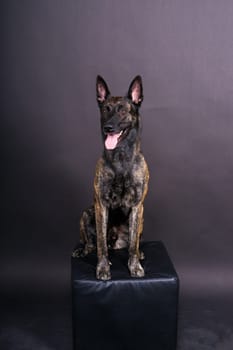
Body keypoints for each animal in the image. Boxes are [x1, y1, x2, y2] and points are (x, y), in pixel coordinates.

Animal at [73, 75, 149, 280]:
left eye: (123, 111)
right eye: (105, 109)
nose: (108, 128)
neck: (120, 157)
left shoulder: (137, 206)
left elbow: (133, 244)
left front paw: (134, 266)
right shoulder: (101, 204)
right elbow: (100, 243)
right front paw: (103, 268)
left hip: (141, 218)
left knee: (133, 242)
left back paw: (140, 253)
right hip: (87, 213)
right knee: (93, 243)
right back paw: (83, 250)